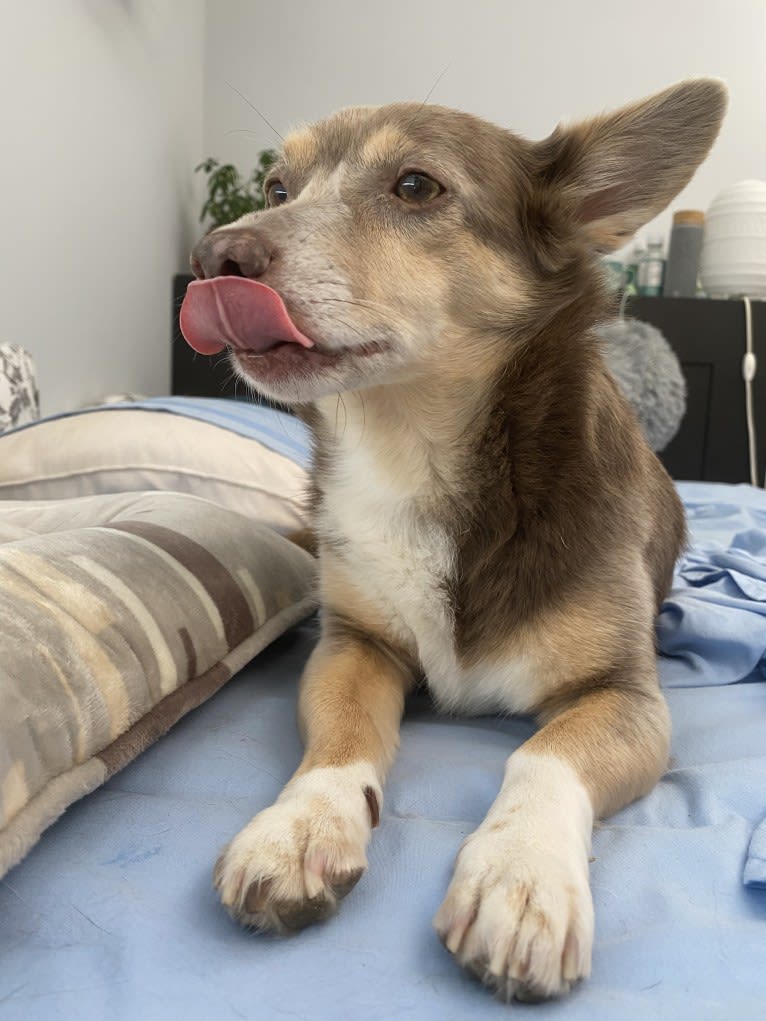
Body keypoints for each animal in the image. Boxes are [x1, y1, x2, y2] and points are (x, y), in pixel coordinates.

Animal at [182, 81, 727, 1004]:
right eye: (276, 189)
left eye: (415, 187)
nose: (213, 254)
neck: (415, 450)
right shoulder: (351, 644)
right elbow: (340, 740)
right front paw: (300, 824)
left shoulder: (625, 697)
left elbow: (544, 756)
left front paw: (522, 874)